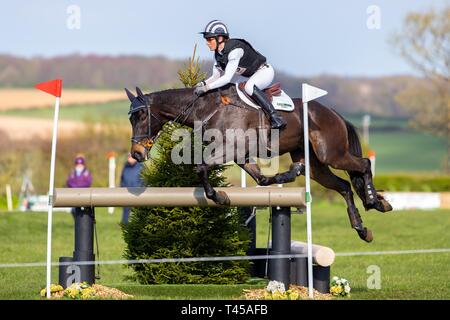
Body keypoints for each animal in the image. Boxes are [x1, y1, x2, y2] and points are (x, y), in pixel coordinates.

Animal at [125, 84, 392, 241]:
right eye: (131, 118)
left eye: (141, 115)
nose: (136, 154)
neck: (206, 108)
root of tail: (333, 113)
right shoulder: (241, 156)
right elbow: (262, 179)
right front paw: (281, 177)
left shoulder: (230, 149)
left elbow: (200, 168)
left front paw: (220, 197)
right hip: (316, 165)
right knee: (344, 186)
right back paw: (362, 228)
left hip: (331, 153)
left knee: (363, 164)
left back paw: (374, 201)